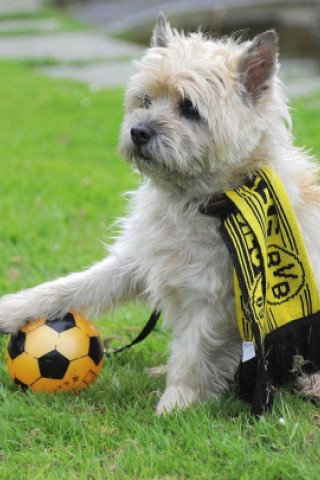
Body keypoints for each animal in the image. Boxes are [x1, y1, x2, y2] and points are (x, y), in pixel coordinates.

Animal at [0, 13, 320, 414]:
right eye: (147, 100)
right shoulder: (135, 262)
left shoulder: (215, 300)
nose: (138, 132)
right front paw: (12, 308)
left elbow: (194, 353)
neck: (200, 201)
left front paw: (176, 403)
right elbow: (71, 287)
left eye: (190, 108)